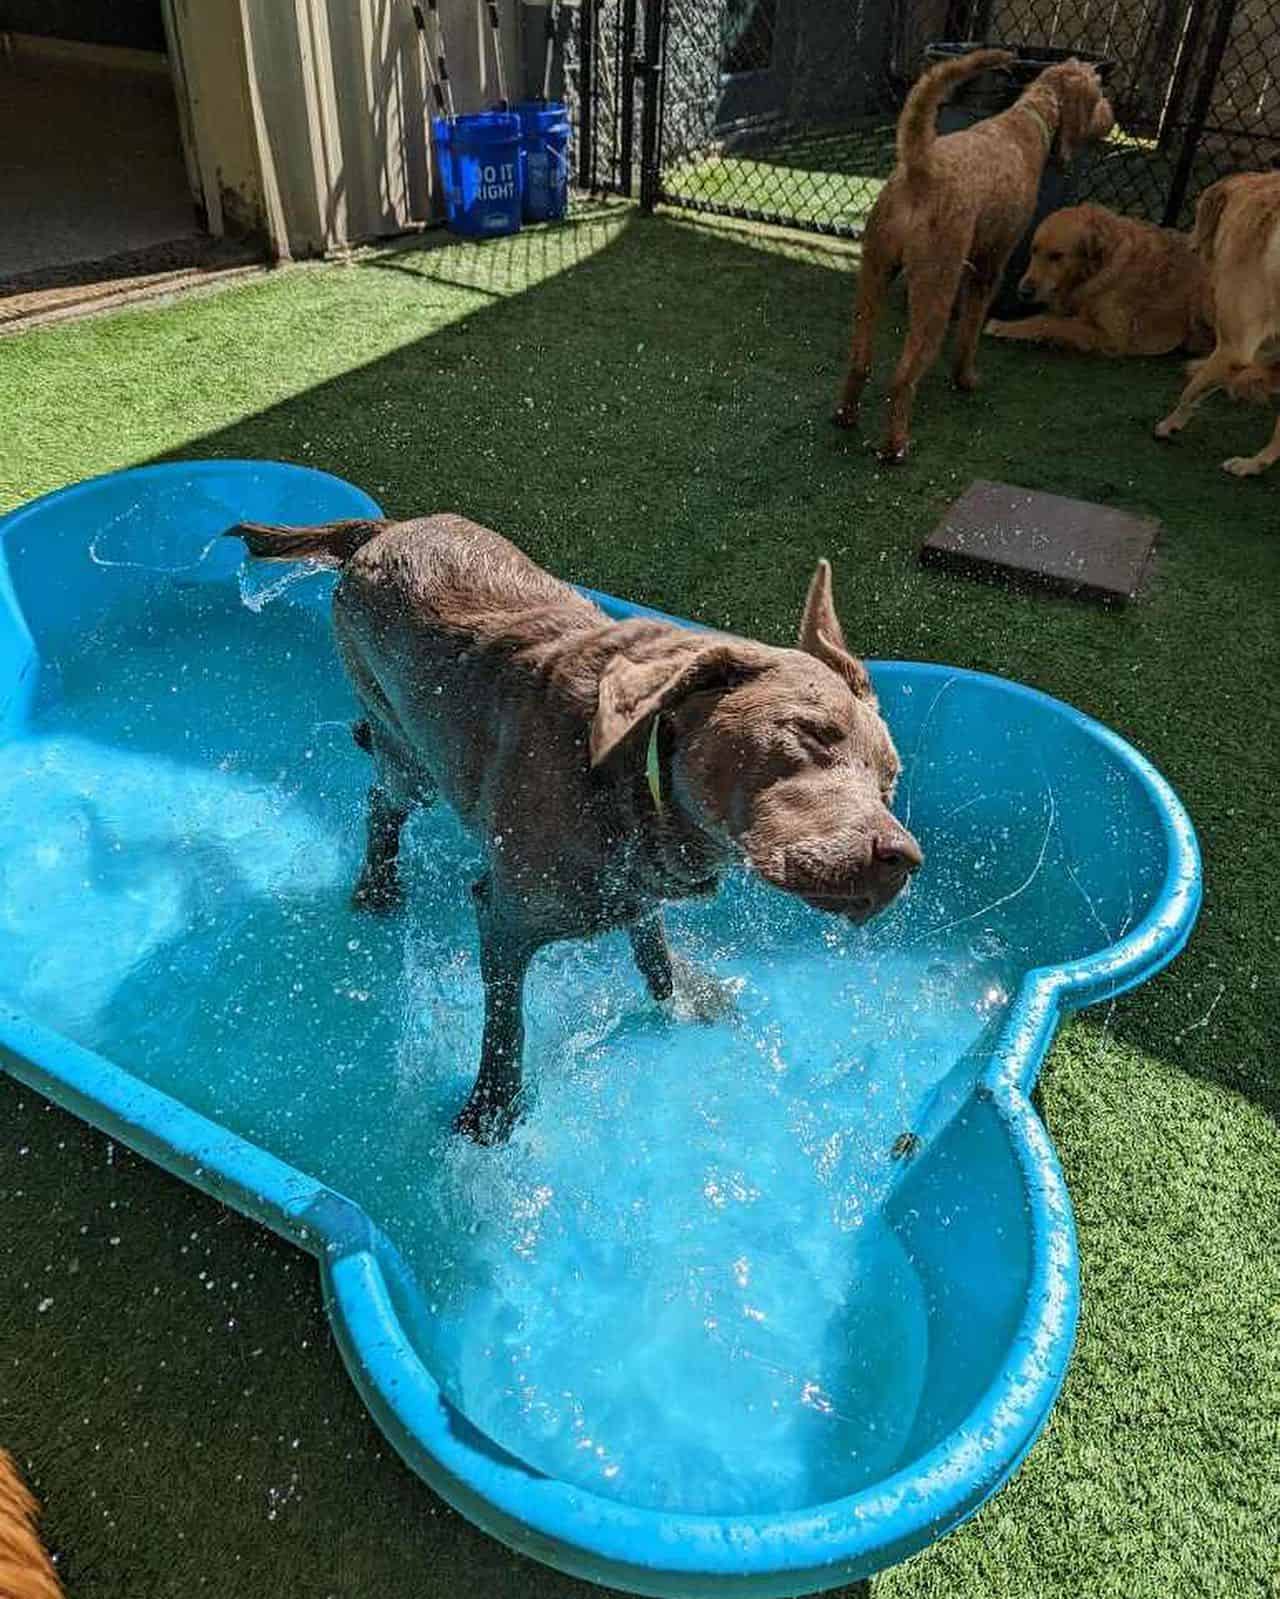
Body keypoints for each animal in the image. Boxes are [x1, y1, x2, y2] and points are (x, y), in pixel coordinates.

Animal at [231, 518, 920, 1144]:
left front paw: (682, 996)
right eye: (809, 734)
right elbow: (505, 1026)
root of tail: (382, 528)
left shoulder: (635, 882)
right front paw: (492, 1108)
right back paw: (376, 887)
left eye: (889, 783)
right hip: (405, 747)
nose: (902, 858)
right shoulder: (505, 917)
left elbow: (652, 947)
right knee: (381, 800)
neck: (629, 776)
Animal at [830, 48, 1112, 463]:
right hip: (934, 290)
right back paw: (895, 445)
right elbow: (970, 329)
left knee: (859, 360)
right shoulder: (989, 266)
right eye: (1098, 91)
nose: (1112, 116)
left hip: (874, 273)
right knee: (902, 378)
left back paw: (846, 416)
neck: (1028, 121)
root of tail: (920, 168)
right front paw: (965, 378)